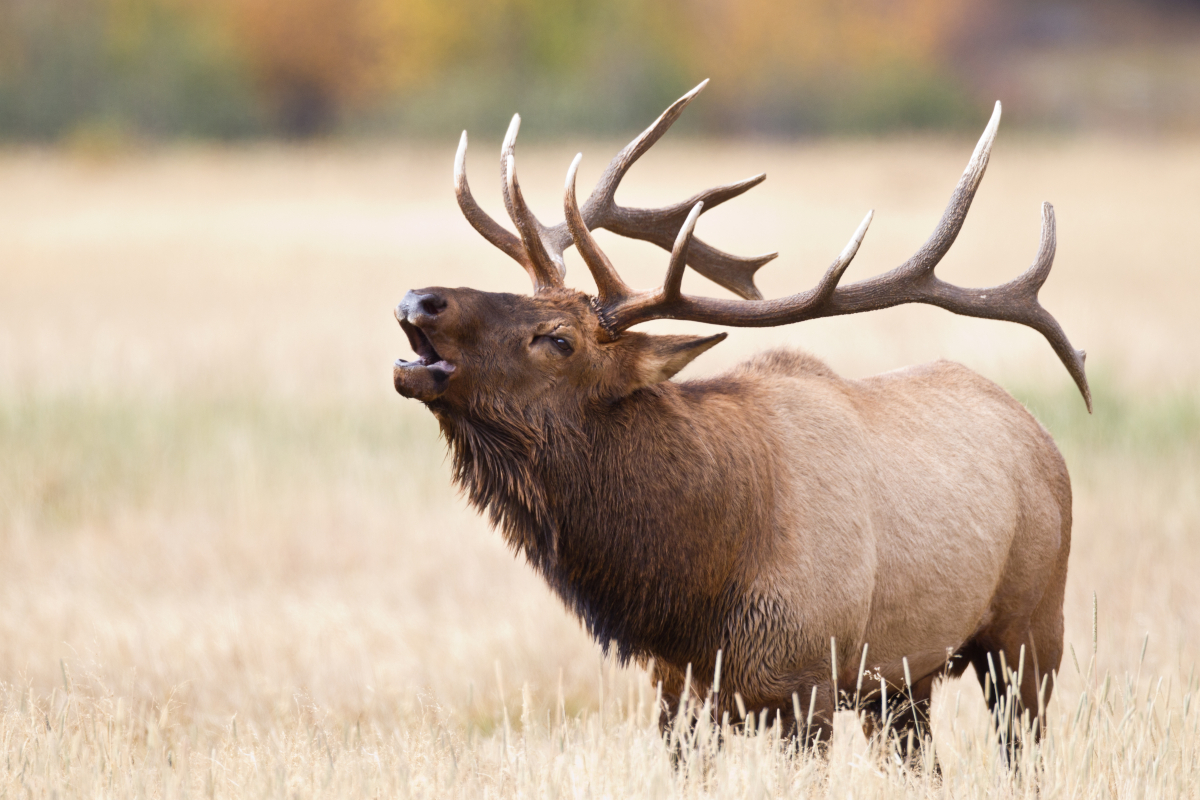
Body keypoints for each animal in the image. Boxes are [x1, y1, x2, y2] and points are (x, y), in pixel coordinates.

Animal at [391, 81, 1089, 753]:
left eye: (559, 339)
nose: (420, 299)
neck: (695, 588)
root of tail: (1042, 437)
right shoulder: (676, 693)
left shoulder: (809, 683)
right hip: (902, 683)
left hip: (1032, 630)